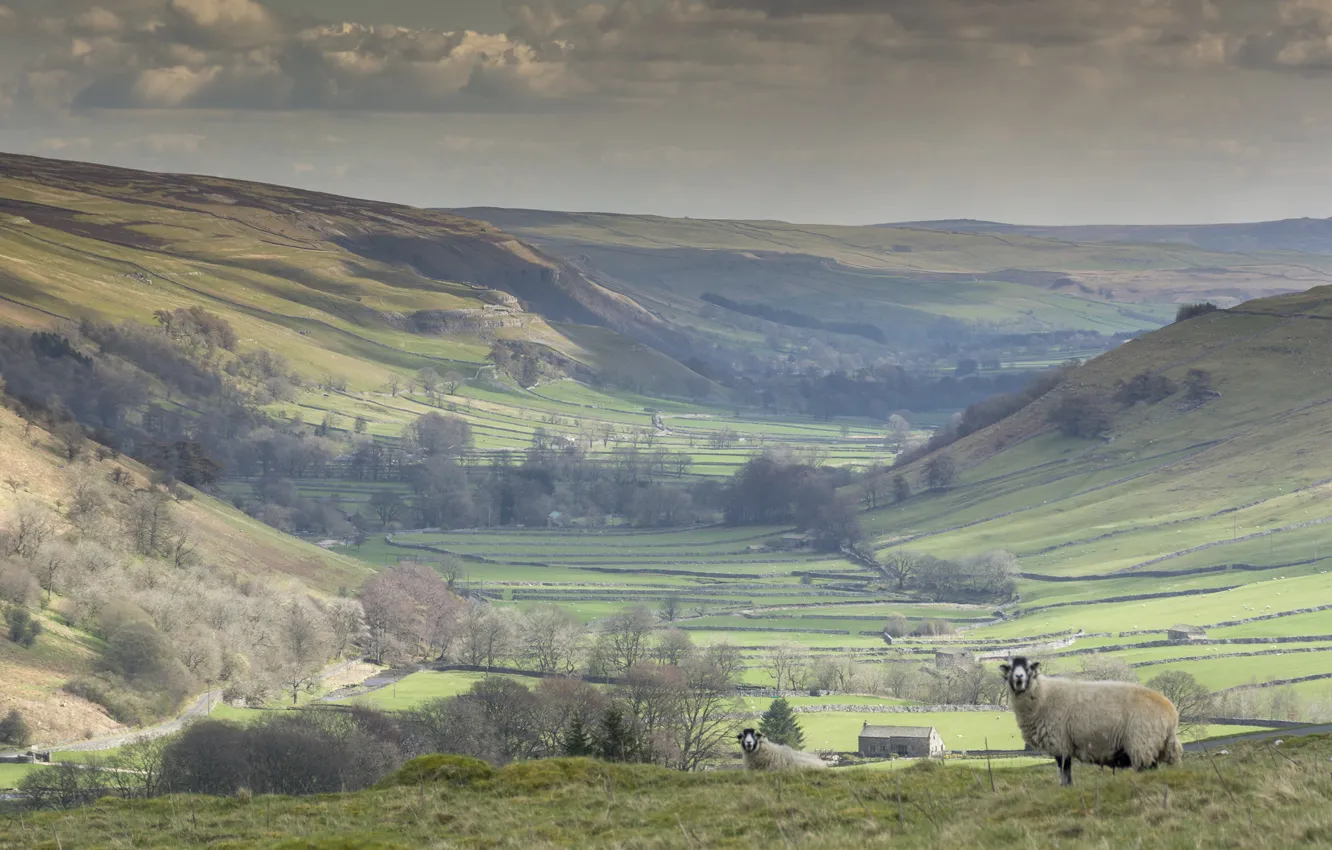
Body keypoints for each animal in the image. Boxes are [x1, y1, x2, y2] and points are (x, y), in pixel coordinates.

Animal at [1001, 655, 1188, 788]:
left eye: (1027, 667)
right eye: (1010, 668)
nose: (1018, 677)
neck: (1043, 695)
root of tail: (1171, 712)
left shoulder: (1060, 741)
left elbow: (1064, 768)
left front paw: (1065, 787)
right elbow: (1064, 768)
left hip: (1142, 743)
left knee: (1146, 768)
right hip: (1157, 744)